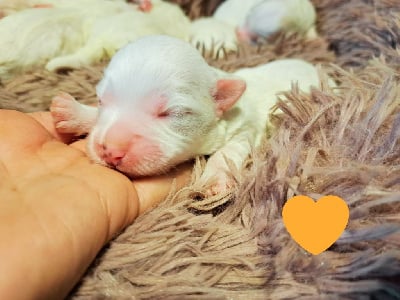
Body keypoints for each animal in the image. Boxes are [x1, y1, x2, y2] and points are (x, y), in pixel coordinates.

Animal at [50, 33, 320, 192]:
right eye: (101, 100)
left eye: (171, 113)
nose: (111, 151)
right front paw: (72, 111)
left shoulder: (245, 128)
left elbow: (228, 151)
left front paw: (215, 178)